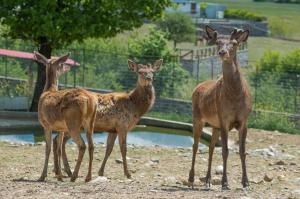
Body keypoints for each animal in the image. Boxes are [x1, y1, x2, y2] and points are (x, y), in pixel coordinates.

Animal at [34, 52, 97, 183]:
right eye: (62, 64)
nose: (68, 67)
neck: (48, 90)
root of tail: (89, 101)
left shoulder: (46, 124)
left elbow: (48, 148)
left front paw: (43, 176)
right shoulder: (61, 128)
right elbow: (58, 147)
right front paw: (59, 175)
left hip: (73, 123)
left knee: (82, 145)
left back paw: (74, 176)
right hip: (90, 123)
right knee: (92, 146)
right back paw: (88, 177)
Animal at [189, 26, 252, 190]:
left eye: (235, 43)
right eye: (218, 42)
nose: (222, 52)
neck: (235, 97)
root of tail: (196, 87)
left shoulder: (244, 121)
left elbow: (242, 151)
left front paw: (246, 182)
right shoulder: (224, 119)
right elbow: (225, 151)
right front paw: (225, 183)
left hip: (214, 125)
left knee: (211, 147)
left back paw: (208, 180)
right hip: (197, 117)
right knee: (195, 145)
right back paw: (191, 179)